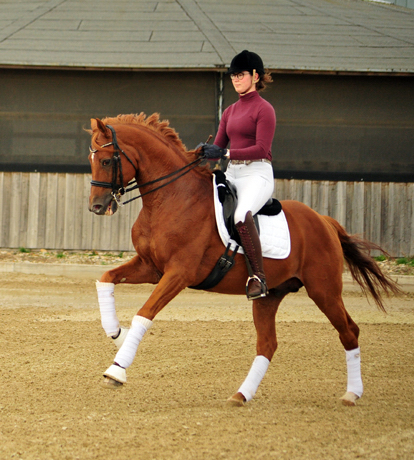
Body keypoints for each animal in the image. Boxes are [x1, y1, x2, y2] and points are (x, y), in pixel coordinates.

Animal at [88, 112, 402, 406]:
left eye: (106, 161)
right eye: (91, 159)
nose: (96, 207)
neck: (172, 198)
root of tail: (324, 221)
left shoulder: (179, 273)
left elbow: (144, 313)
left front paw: (117, 369)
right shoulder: (151, 267)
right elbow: (104, 280)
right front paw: (117, 333)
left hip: (324, 290)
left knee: (349, 331)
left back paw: (352, 393)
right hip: (270, 296)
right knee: (267, 344)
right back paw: (241, 395)